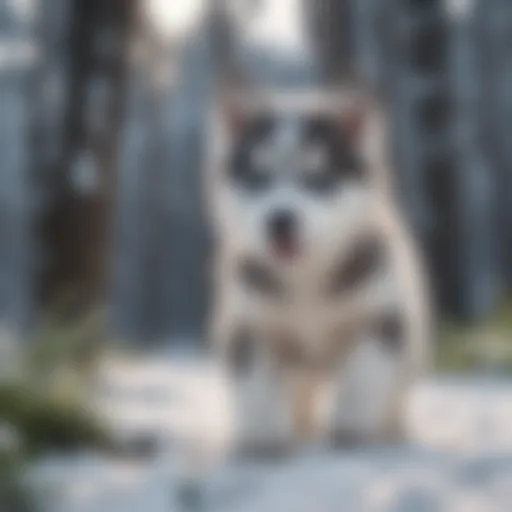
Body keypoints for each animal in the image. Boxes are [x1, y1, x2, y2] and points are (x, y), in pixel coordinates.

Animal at [202, 88, 430, 456]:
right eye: (259, 178)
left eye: (317, 178)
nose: (280, 220)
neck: (306, 279)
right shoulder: (246, 321)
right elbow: (253, 381)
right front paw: (262, 437)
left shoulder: (386, 315)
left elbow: (365, 371)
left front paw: (350, 424)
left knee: (396, 393)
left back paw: (392, 432)